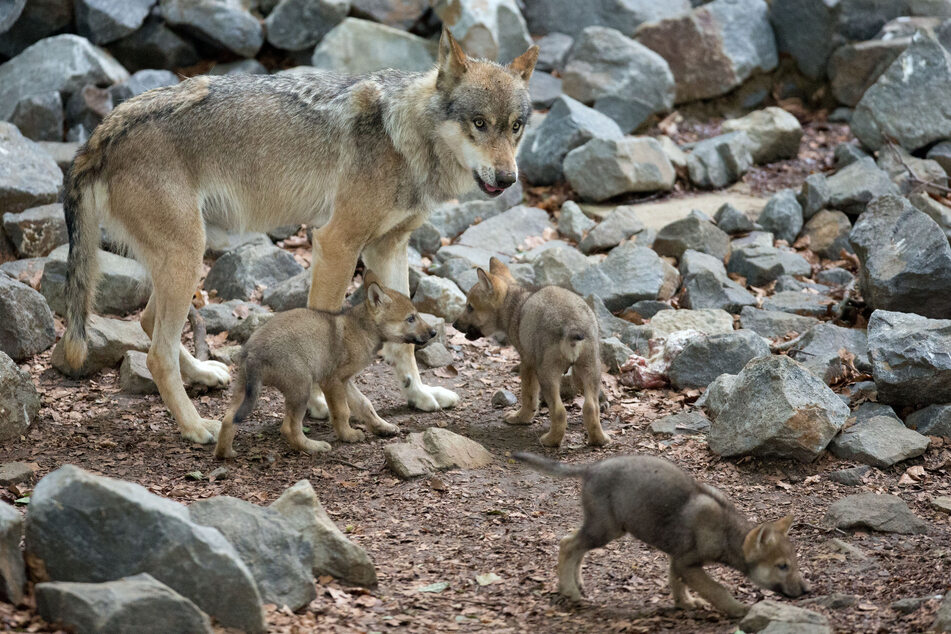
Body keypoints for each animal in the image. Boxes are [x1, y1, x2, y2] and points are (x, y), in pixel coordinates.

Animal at [59, 29, 540, 442]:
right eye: (479, 123)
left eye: (515, 126)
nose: (507, 179)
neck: (405, 137)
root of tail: (102, 131)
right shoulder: (336, 243)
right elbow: (325, 330)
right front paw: (321, 405)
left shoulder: (389, 247)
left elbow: (404, 343)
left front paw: (418, 396)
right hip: (187, 256)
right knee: (156, 354)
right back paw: (196, 428)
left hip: (185, 256)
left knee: (147, 322)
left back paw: (204, 374)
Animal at [512, 452, 812, 616]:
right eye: (782, 566)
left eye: (795, 564)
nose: (806, 590)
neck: (726, 531)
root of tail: (591, 468)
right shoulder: (687, 562)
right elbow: (717, 590)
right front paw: (739, 610)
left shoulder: (677, 559)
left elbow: (676, 583)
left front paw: (685, 604)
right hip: (605, 529)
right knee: (567, 544)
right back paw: (570, 591)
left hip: (604, 527)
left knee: (574, 544)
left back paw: (577, 584)